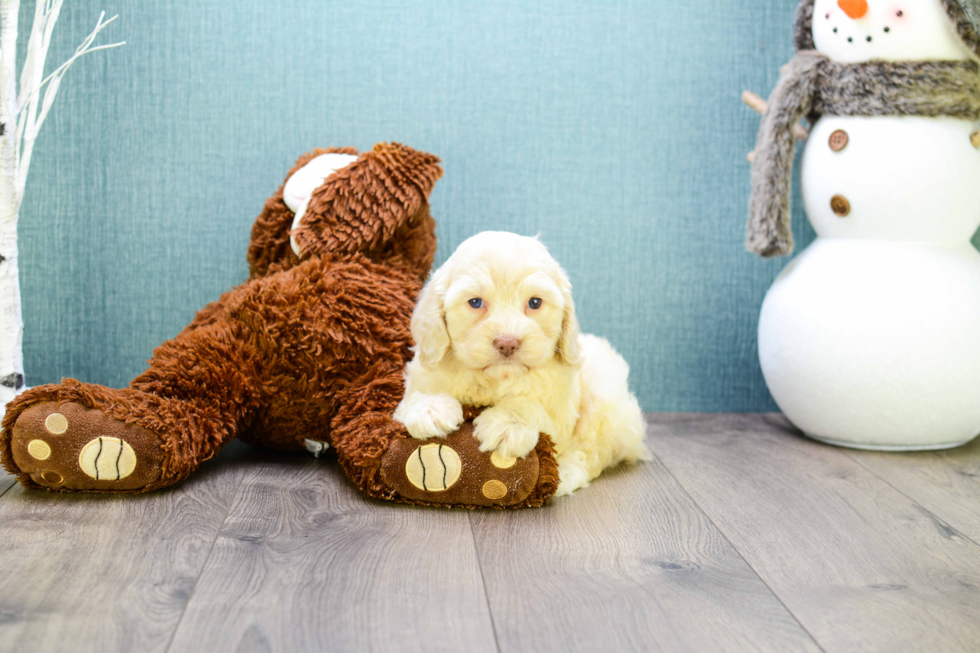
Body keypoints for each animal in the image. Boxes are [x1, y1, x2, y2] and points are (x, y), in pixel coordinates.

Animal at [390, 229, 652, 494]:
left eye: (534, 302)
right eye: (475, 302)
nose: (508, 343)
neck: (495, 378)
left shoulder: (560, 410)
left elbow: (533, 407)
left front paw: (508, 423)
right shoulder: (426, 370)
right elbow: (421, 392)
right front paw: (430, 408)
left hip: (605, 400)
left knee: (593, 451)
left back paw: (566, 473)